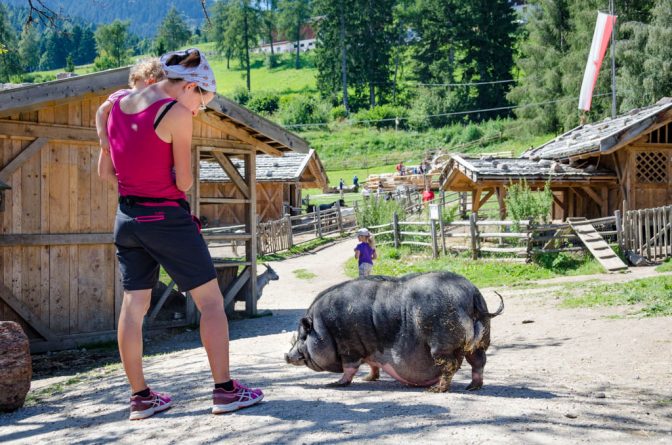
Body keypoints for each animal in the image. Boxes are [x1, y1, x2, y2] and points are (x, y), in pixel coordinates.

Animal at [284, 270, 504, 392]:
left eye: (303, 335)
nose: (286, 355)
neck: (324, 328)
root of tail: (472, 296)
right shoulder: (370, 350)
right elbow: (372, 365)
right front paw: (368, 379)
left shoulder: (349, 348)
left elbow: (349, 369)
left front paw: (336, 383)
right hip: (481, 341)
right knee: (479, 362)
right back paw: (472, 387)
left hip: (442, 345)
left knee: (450, 366)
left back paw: (436, 390)